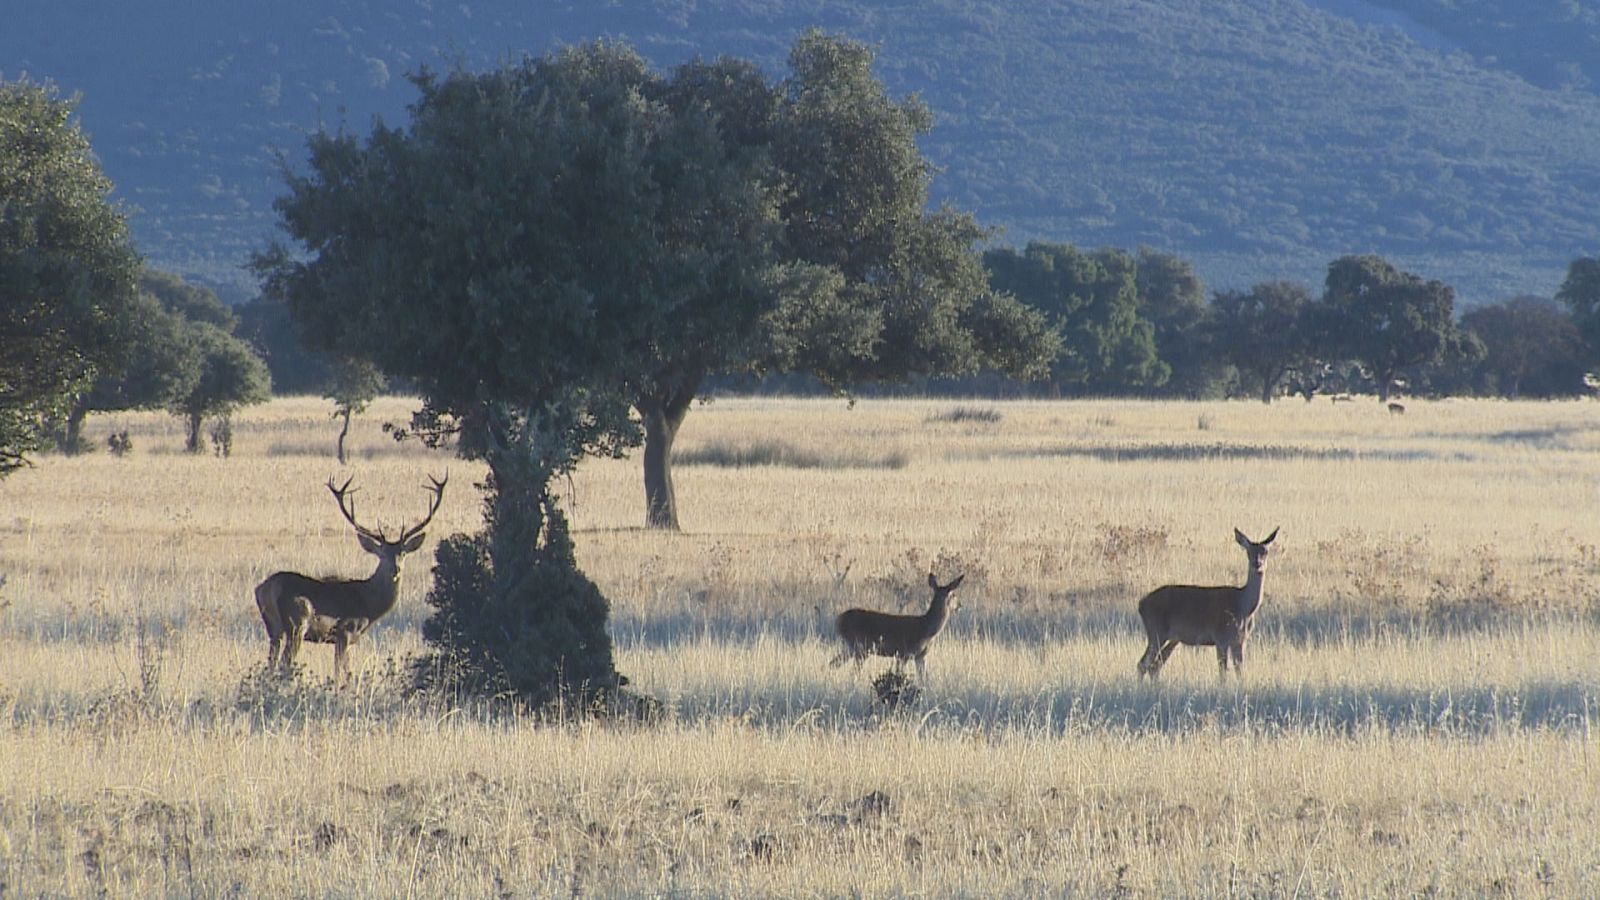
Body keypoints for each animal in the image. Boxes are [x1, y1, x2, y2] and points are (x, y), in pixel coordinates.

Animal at [252, 474, 448, 675]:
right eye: (382, 554)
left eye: (403, 554)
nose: (396, 570)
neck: (368, 604)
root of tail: (265, 589)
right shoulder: (345, 632)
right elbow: (343, 673)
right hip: (297, 623)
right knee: (284, 663)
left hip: (273, 629)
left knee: (271, 663)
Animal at [832, 570, 966, 675]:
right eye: (954, 595)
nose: (960, 605)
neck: (927, 629)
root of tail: (838, 621)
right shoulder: (903, 653)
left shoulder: (920, 656)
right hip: (859, 647)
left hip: (851, 647)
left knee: (833, 663)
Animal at [1132, 522, 1280, 675]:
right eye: (1248, 552)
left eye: (1266, 551)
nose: (1258, 564)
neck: (1244, 608)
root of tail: (1141, 604)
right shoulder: (1221, 637)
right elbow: (1222, 673)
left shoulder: (1240, 641)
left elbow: (1240, 672)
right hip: (1156, 631)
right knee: (1142, 664)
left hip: (1170, 637)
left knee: (1155, 666)